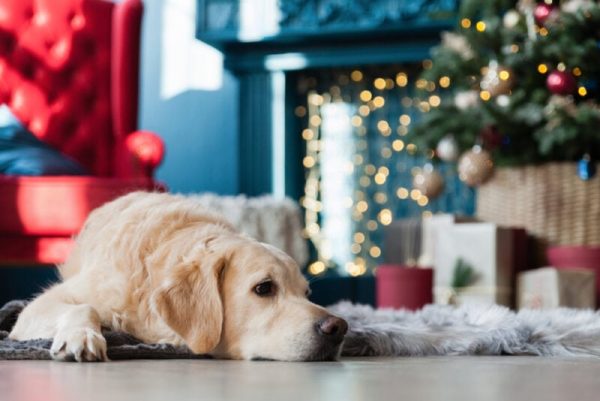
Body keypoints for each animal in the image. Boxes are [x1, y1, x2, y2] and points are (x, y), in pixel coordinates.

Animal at [8, 192, 346, 360]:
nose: (339, 327)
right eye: (264, 288)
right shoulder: (36, 309)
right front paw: (82, 337)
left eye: (306, 294)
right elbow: (83, 307)